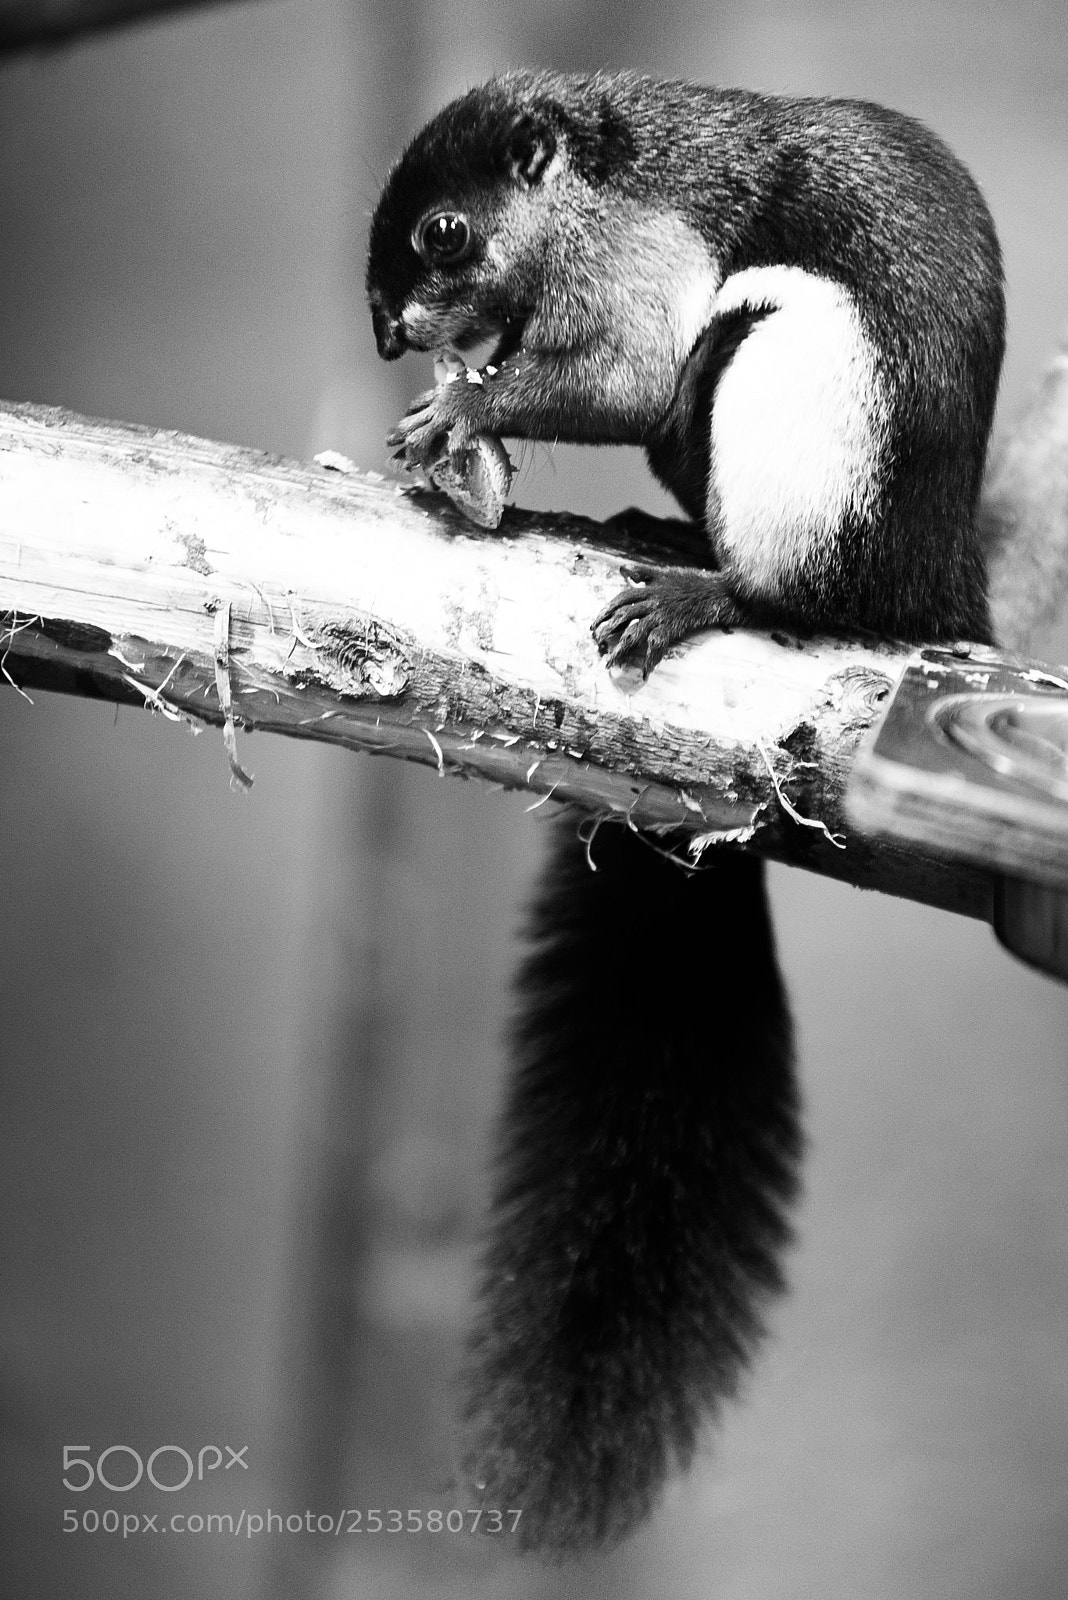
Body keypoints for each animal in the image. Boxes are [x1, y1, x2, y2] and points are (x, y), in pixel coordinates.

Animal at [366, 69, 1005, 1554]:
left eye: (440, 233)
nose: (386, 334)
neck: (595, 178)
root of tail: (937, 593)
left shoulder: (646, 270)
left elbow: (630, 369)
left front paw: (463, 417)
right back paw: (660, 539)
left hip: (789, 390)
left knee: (793, 585)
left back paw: (707, 588)